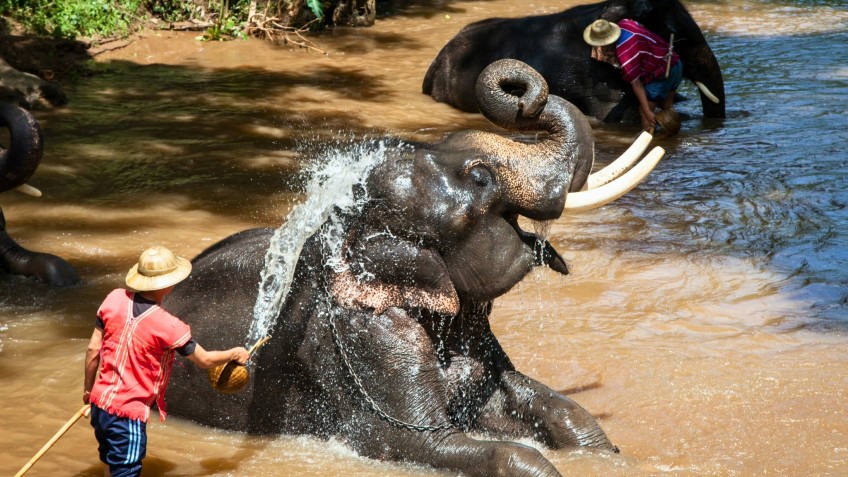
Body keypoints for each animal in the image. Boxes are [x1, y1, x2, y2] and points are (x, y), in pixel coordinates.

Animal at [164, 60, 665, 476]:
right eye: (481, 179)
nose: (524, 95)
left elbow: (547, 407)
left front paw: (614, 458)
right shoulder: (366, 336)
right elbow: (414, 441)